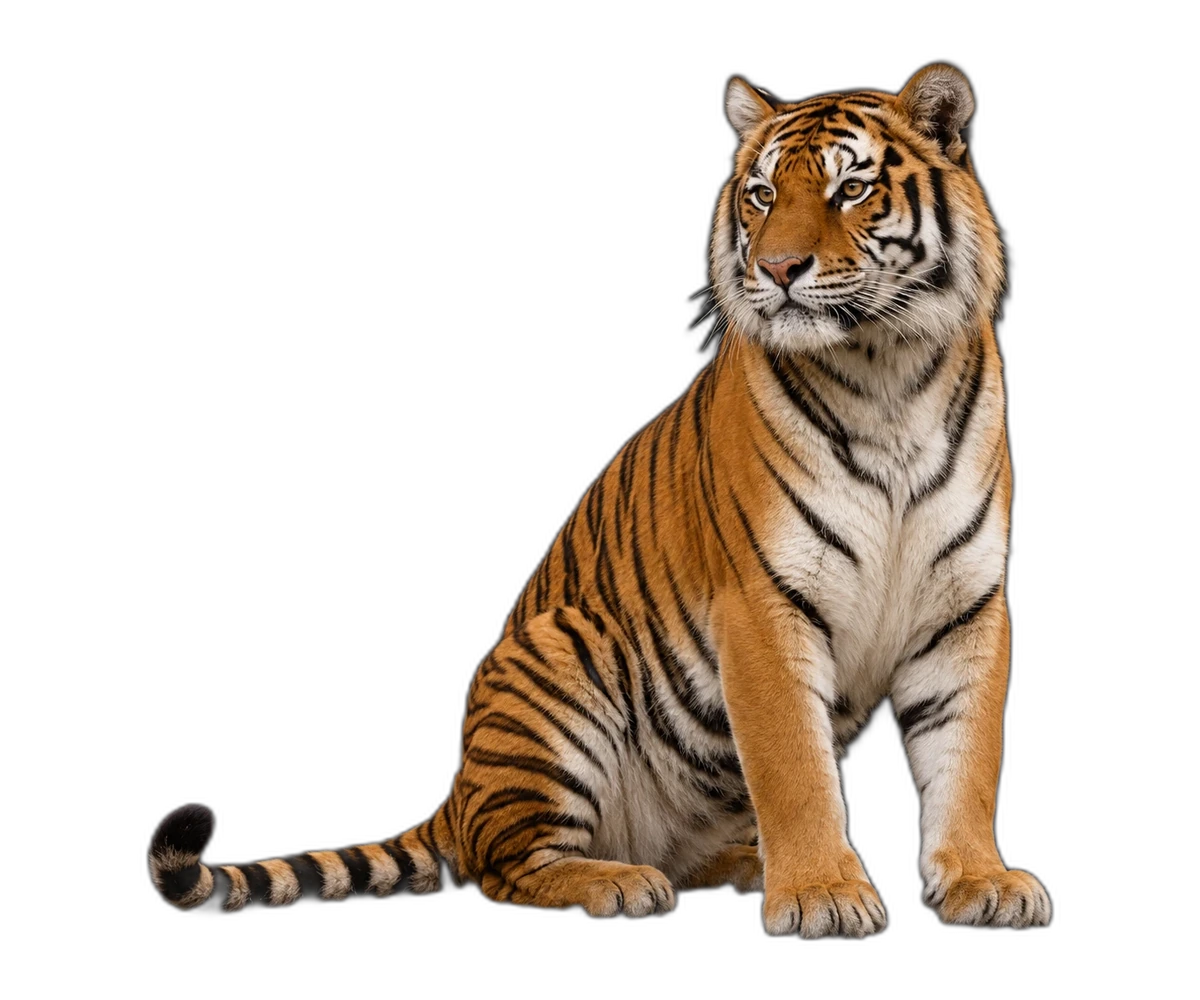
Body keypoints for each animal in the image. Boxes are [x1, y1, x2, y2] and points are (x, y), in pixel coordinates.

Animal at [149, 65, 1050, 938]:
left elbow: (968, 758)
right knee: (507, 869)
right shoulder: (763, 605)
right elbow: (795, 770)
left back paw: (734, 865)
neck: (887, 372)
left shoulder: (967, 604)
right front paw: (824, 893)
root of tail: (457, 796)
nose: (777, 270)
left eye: (850, 190)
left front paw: (981, 881)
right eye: (762, 195)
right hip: (560, 652)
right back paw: (617, 881)